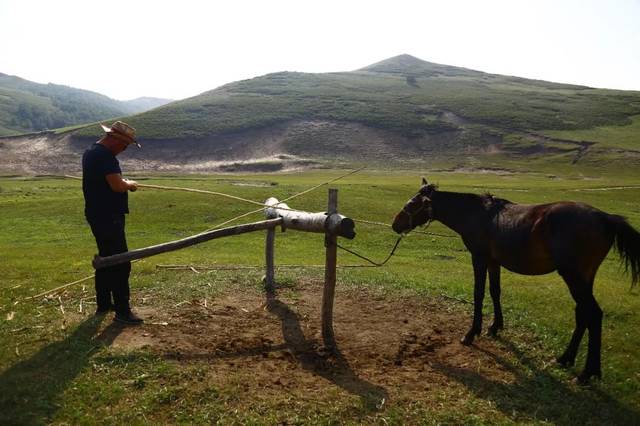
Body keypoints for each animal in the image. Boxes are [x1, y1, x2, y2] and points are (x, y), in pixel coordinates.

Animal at [390, 176, 640, 382]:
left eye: (411, 204)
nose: (395, 224)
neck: (476, 215)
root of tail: (606, 218)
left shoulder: (479, 258)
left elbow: (479, 293)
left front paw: (472, 333)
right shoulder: (493, 261)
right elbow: (495, 291)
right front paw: (495, 327)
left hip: (574, 276)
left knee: (593, 314)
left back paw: (588, 372)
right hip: (584, 277)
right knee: (583, 314)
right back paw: (565, 358)